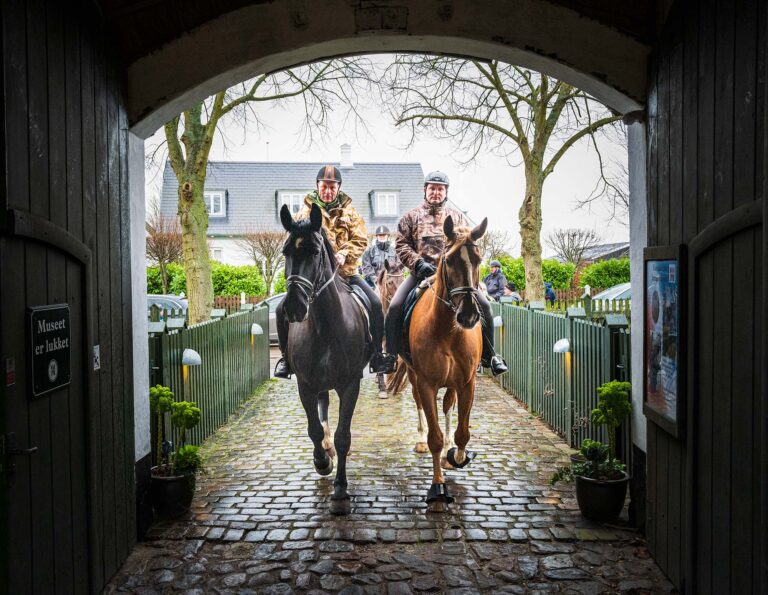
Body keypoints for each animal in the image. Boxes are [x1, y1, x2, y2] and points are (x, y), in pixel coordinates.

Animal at [280, 203, 372, 516]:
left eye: (315, 252)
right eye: (285, 252)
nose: (294, 307)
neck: (325, 325)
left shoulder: (350, 385)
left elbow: (344, 436)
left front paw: (341, 491)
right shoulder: (305, 385)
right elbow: (313, 428)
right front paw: (322, 461)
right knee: (322, 413)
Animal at [402, 214, 486, 512]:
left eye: (479, 259)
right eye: (448, 260)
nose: (469, 315)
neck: (448, 330)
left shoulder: (468, 382)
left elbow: (462, 432)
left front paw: (457, 455)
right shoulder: (426, 383)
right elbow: (434, 439)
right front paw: (438, 489)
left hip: (453, 382)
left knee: (449, 404)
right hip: (414, 377)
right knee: (418, 404)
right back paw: (418, 440)